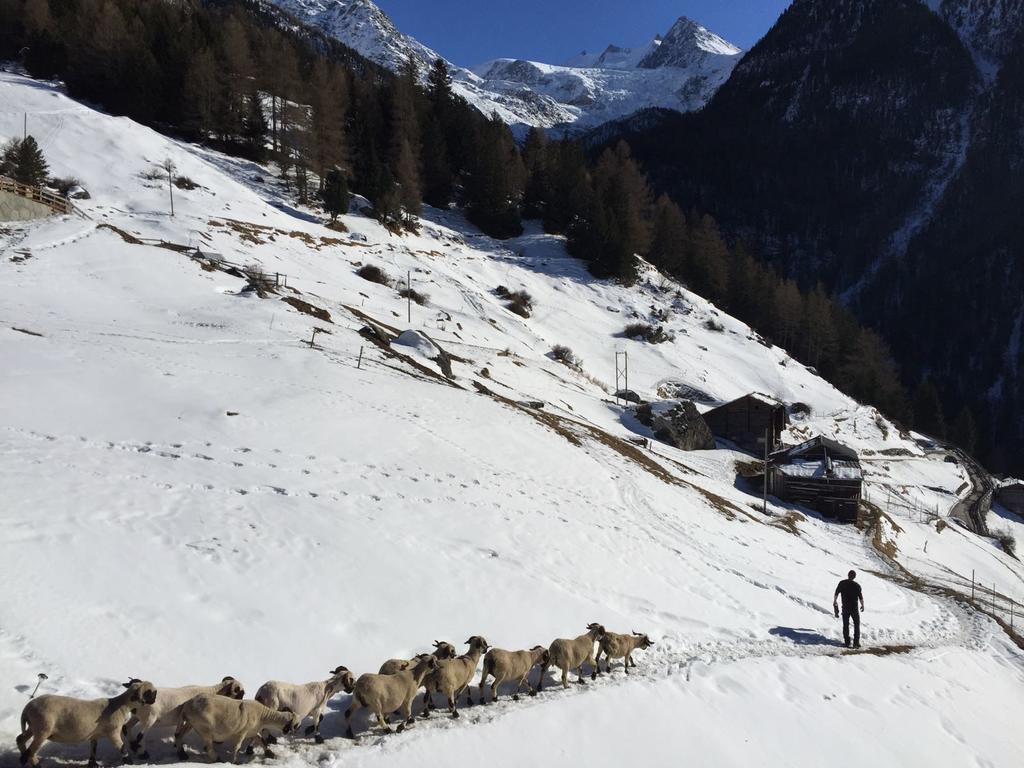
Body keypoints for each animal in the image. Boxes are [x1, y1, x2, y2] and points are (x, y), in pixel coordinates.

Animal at [17, 684, 155, 765]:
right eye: (150, 693)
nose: (154, 699)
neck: (120, 706)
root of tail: (28, 707)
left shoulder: (94, 734)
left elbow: (93, 749)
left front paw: (93, 764)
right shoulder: (113, 731)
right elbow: (121, 747)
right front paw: (128, 761)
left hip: (33, 727)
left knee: (20, 739)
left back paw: (25, 758)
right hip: (42, 728)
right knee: (31, 750)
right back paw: (33, 763)